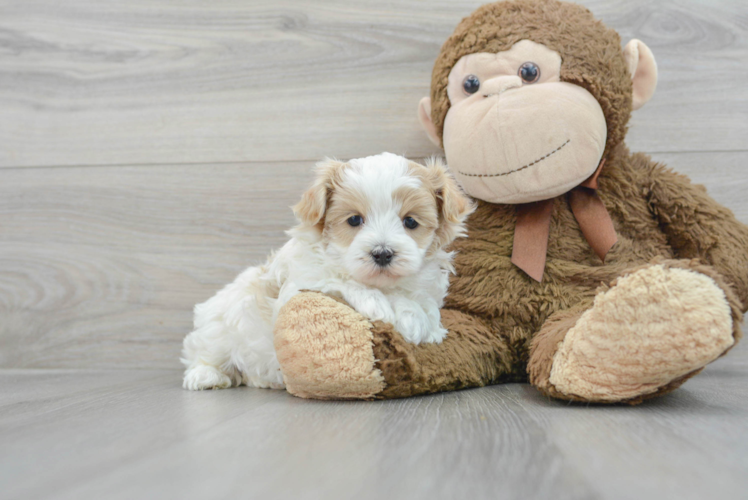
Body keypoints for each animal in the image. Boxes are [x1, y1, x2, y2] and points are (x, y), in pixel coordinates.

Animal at [181, 152, 474, 390]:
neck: (382, 284)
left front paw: (420, 321)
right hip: (218, 325)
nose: (382, 253)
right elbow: (340, 279)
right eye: (354, 219)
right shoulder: (301, 282)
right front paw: (379, 304)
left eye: (410, 221)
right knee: (203, 352)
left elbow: (423, 304)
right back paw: (206, 376)